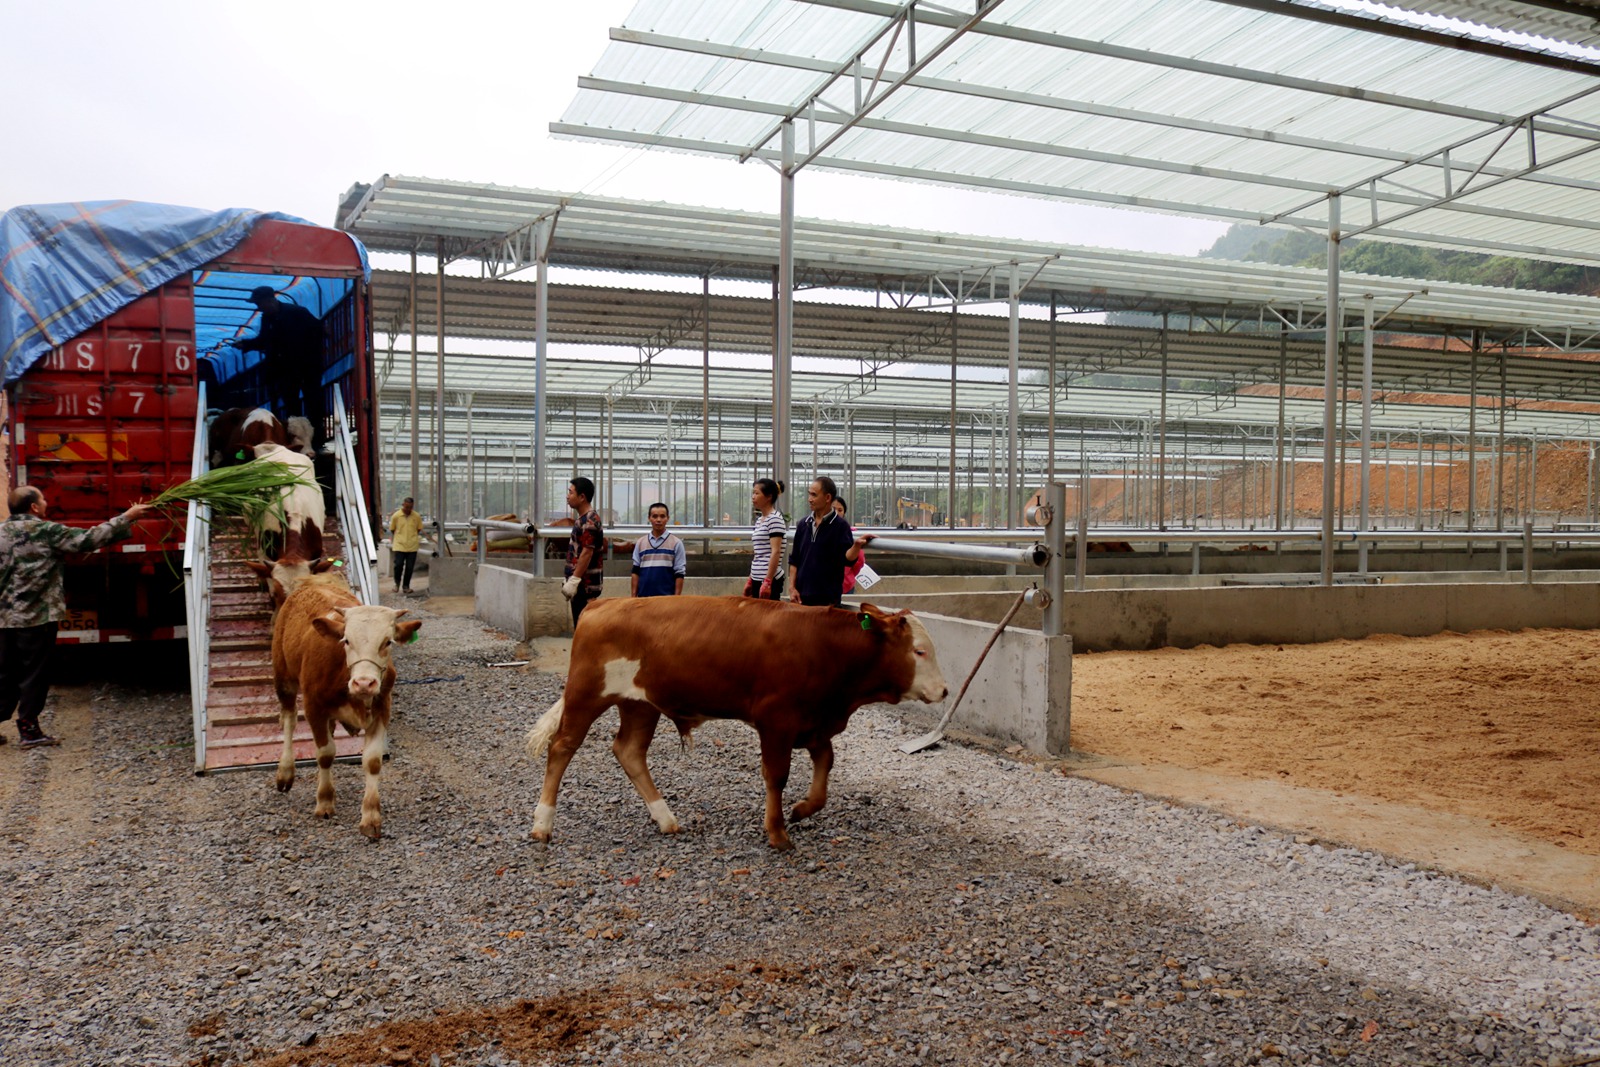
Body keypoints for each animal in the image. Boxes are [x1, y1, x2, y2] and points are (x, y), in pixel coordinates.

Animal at [272, 575, 419, 844]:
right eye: (346, 640)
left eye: (388, 642)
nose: (364, 683)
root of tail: (310, 581)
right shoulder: (313, 706)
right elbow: (325, 754)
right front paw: (324, 801)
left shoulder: (382, 708)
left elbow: (372, 761)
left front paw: (370, 817)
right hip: (283, 676)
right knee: (288, 720)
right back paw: (285, 772)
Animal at [524, 601, 947, 851]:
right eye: (919, 651)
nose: (944, 690)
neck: (825, 647)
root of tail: (602, 603)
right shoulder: (776, 720)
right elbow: (777, 775)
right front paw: (777, 831)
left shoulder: (814, 722)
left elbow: (825, 765)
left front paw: (802, 809)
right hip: (586, 694)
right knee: (562, 747)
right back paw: (542, 823)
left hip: (640, 704)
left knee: (629, 751)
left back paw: (665, 818)